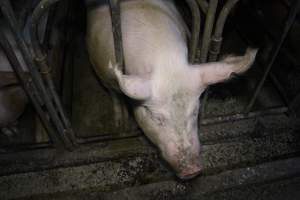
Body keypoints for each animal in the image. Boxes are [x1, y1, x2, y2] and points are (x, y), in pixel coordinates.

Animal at [85, 0, 256, 179]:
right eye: (157, 118)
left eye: (195, 112)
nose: (192, 170)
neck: (166, 60)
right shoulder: (100, 67)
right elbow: (115, 96)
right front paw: (118, 124)